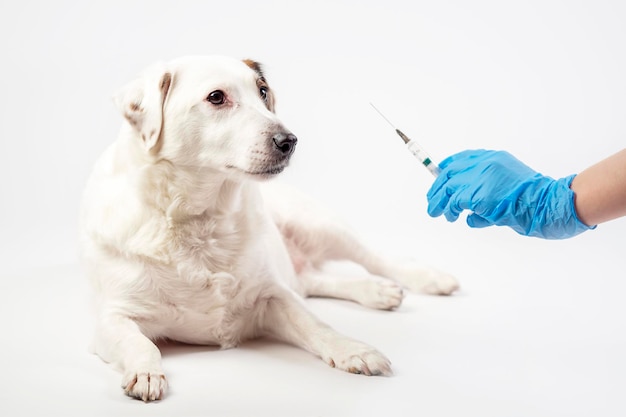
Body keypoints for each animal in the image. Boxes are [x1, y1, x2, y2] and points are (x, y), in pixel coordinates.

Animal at [79, 55, 458, 400]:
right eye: (216, 97)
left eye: (263, 92)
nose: (288, 141)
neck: (201, 218)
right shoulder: (111, 319)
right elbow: (141, 344)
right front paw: (146, 371)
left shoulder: (272, 295)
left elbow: (315, 324)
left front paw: (352, 349)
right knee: (315, 280)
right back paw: (376, 291)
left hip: (317, 225)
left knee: (375, 259)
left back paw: (424, 279)